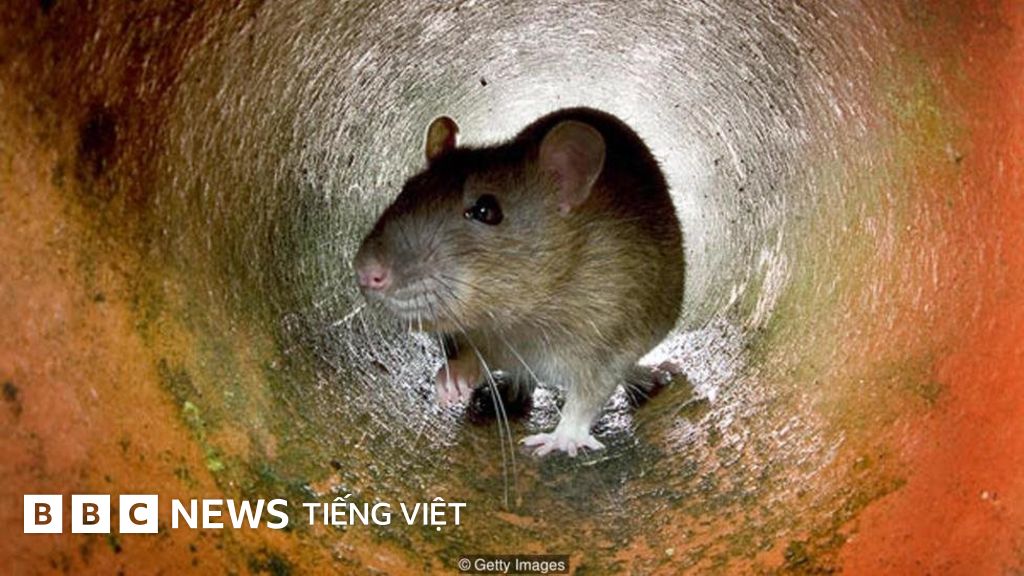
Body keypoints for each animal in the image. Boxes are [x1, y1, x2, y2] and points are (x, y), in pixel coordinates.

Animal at [354, 107, 684, 456]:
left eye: (486, 210)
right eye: (406, 189)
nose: (367, 272)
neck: (521, 317)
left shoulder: (614, 323)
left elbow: (595, 386)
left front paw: (565, 436)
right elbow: (476, 356)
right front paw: (455, 375)